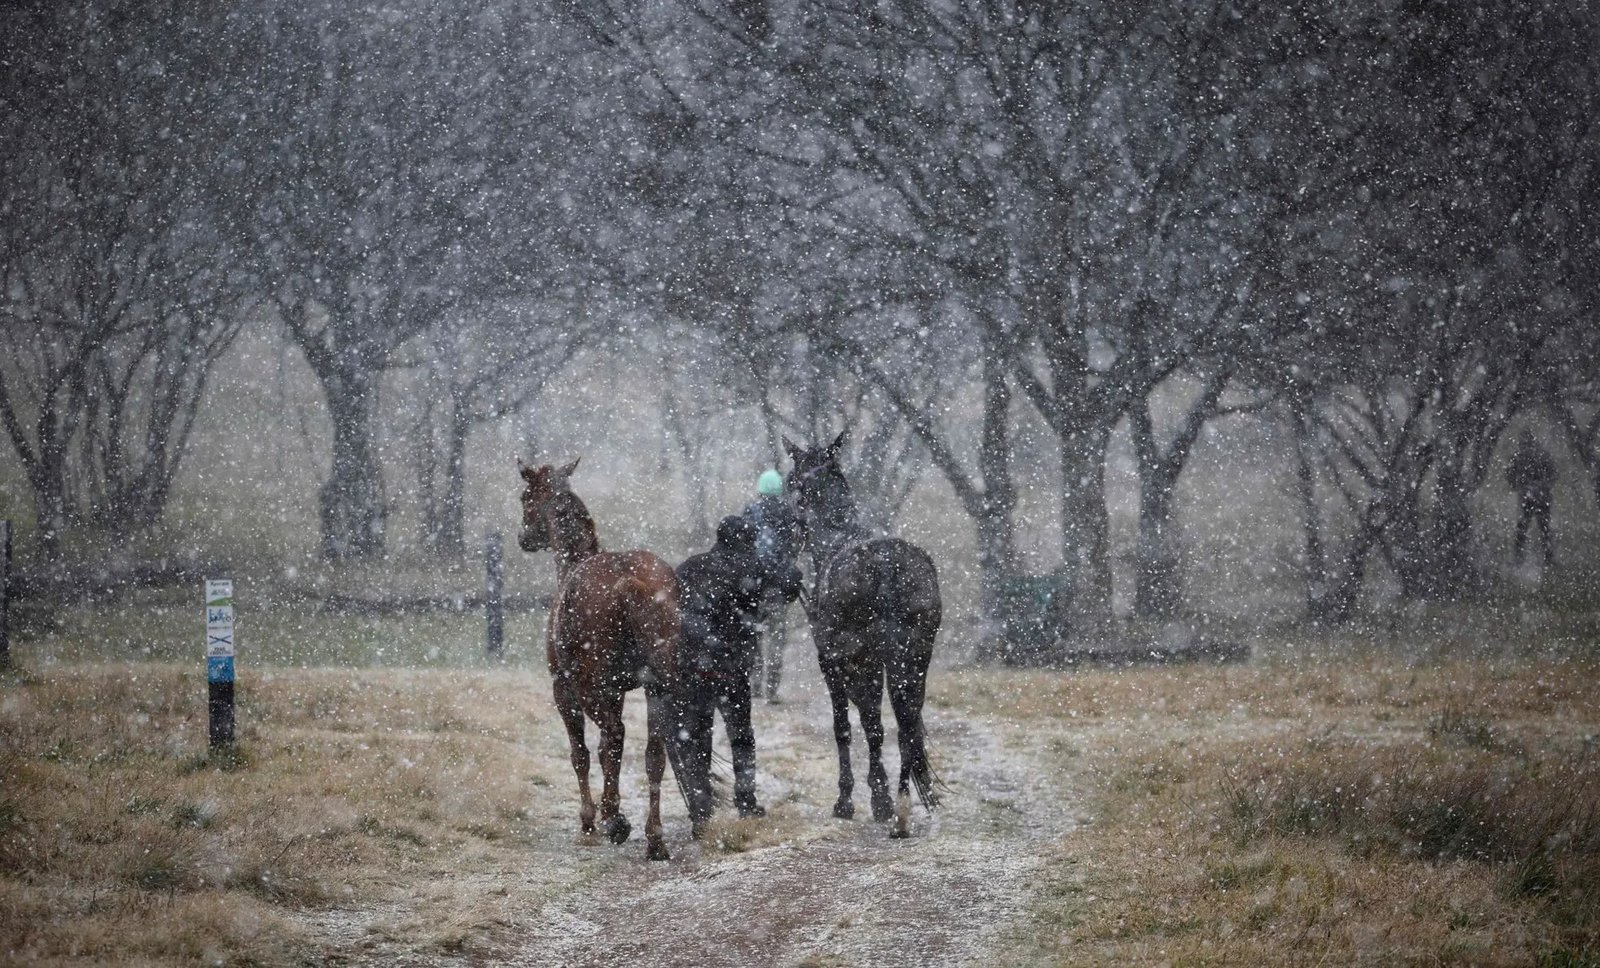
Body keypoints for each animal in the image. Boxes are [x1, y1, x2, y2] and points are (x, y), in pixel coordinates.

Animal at [518, 457, 681, 857]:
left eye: (525, 496)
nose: (524, 538)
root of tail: (627, 582)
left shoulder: (564, 689)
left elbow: (582, 753)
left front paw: (590, 818)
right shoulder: (618, 691)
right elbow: (610, 753)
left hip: (588, 688)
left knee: (615, 735)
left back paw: (614, 819)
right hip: (658, 688)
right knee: (653, 753)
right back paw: (654, 837)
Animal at [784, 432, 940, 838]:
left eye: (791, 482)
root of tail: (888, 564)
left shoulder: (833, 661)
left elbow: (847, 726)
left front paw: (852, 799)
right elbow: (875, 725)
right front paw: (881, 794)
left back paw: (897, 811)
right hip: (917, 656)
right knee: (908, 725)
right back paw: (903, 809)